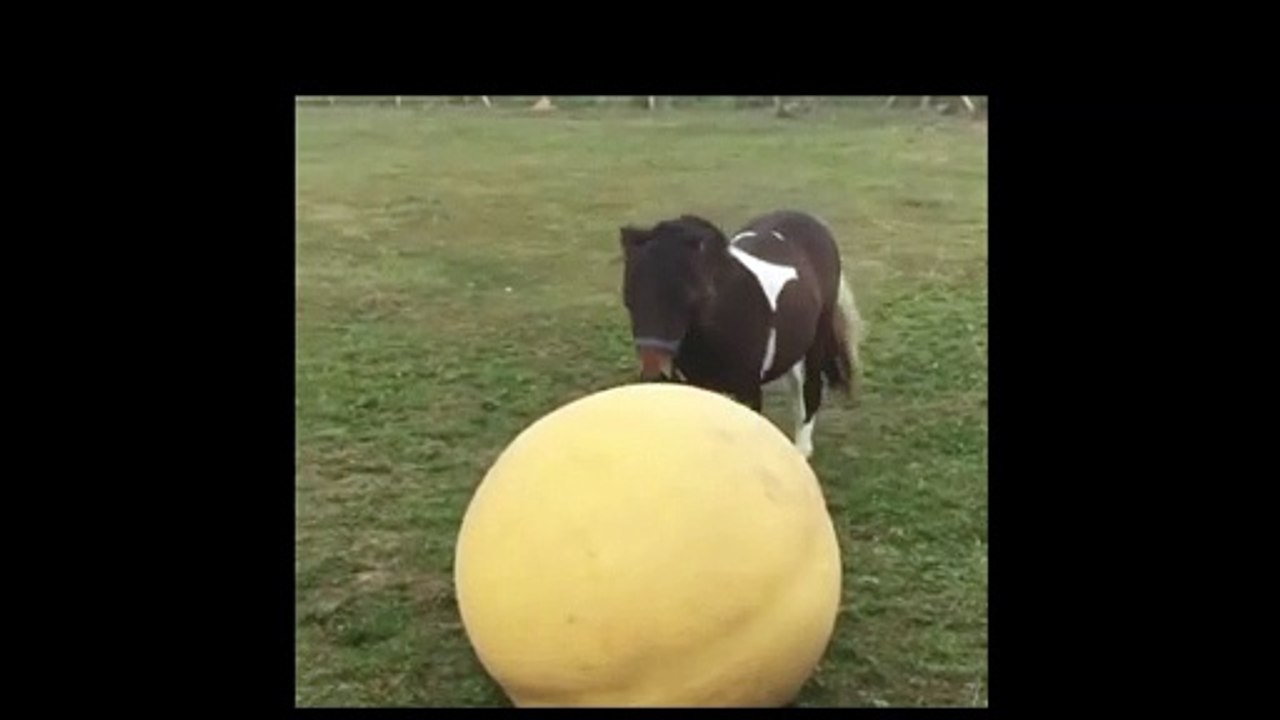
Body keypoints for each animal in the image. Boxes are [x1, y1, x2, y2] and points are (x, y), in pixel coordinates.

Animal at [618, 209, 864, 459]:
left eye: (688, 298)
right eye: (629, 298)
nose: (653, 372)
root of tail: (811, 221)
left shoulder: (749, 392)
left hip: (817, 339)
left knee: (811, 388)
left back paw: (802, 449)